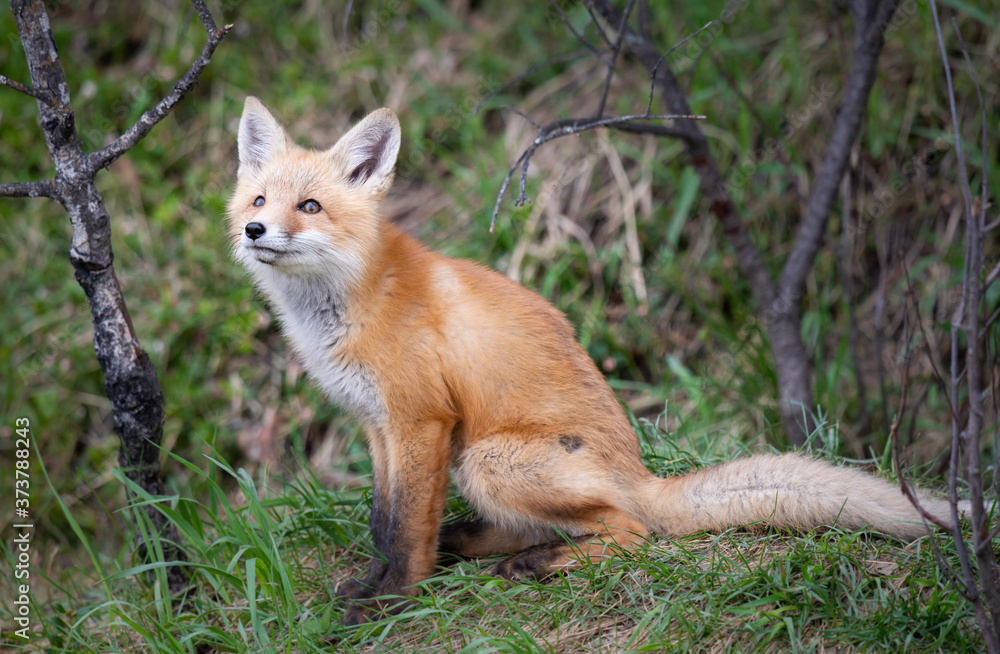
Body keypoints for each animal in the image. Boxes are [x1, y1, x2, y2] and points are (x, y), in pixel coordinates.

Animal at [228, 97, 963, 624]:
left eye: (310, 206)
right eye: (260, 200)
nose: (254, 230)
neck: (346, 304)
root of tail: (641, 474)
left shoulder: (420, 421)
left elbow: (406, 531)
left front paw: (391, 603)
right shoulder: (378, 425)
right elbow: (385, 523)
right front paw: (377, 584)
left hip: (487, 459)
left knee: (631, 529)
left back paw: (539, 561)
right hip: (476, 462)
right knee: (537, 526)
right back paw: (480, 546)